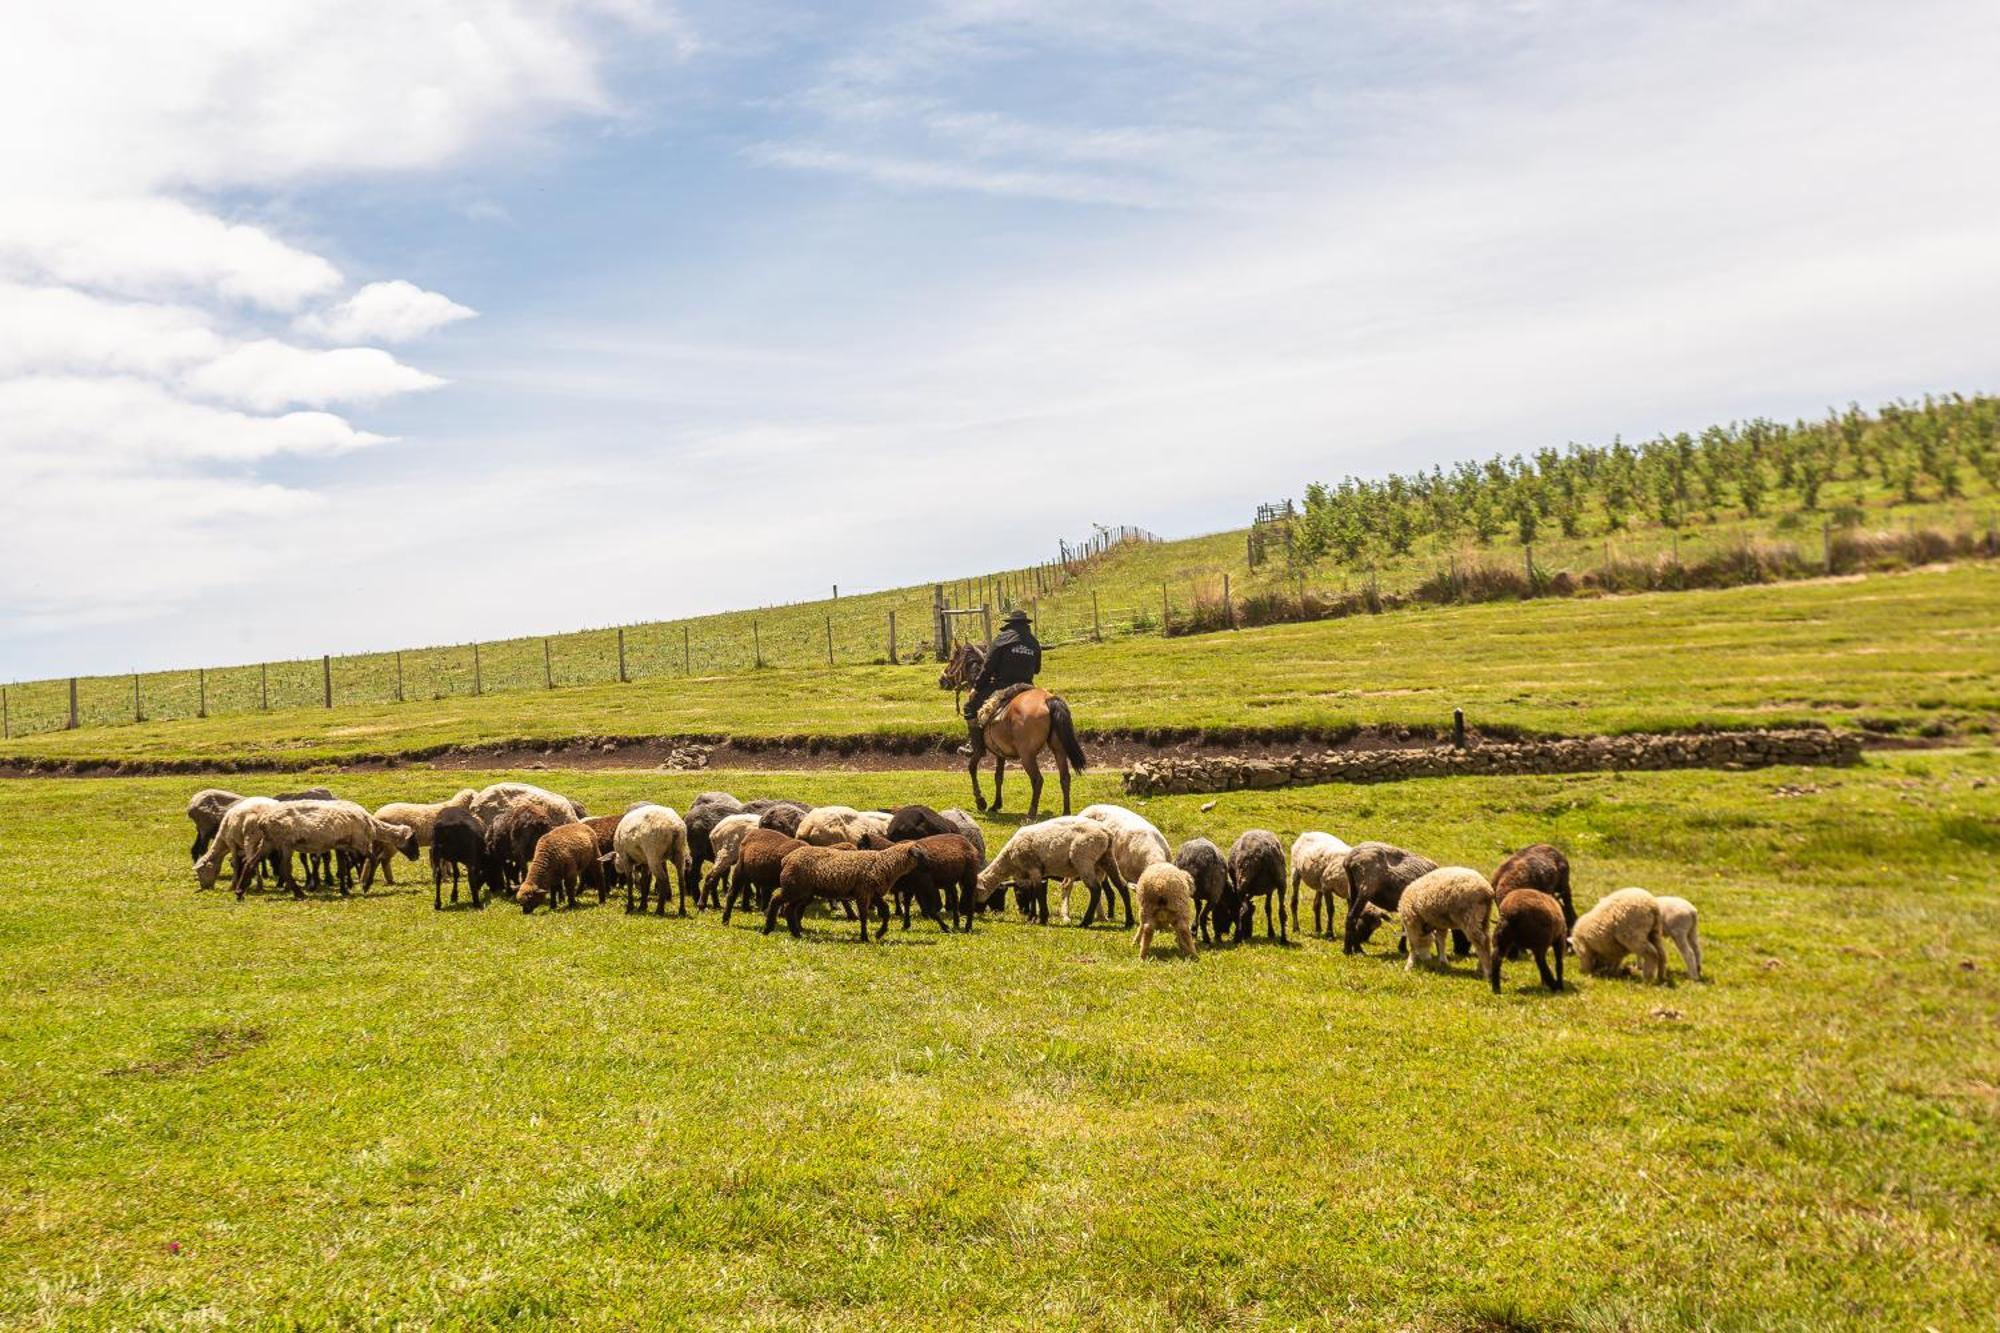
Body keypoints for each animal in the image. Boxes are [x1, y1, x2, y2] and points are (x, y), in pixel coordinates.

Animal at [760, 836, 932, 940]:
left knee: (790, 909)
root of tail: (787, 859)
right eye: (920, 855)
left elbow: (885, 912)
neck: (886, 864)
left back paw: (796, 933)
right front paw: (864, 937)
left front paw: (879, 933)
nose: (931, 866)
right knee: (776, 900)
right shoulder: (863, 892)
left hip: (801, 891)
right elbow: (864, 916)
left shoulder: (874, 894)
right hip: (794, 887)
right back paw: (768, 928)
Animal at [976, 808, 1136, 924]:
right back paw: (1129, 922)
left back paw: (1085, 922)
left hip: (1083, 860)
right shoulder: (1031, 874)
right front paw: (1032, 917)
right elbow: (1033, 894)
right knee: (1122, 886)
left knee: (1096, 890)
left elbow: (1038, 893)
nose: (975, 912)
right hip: (1107, 858)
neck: (1008, 859)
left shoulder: (1034, 868)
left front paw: (1042, 918)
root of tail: (1106, 833)